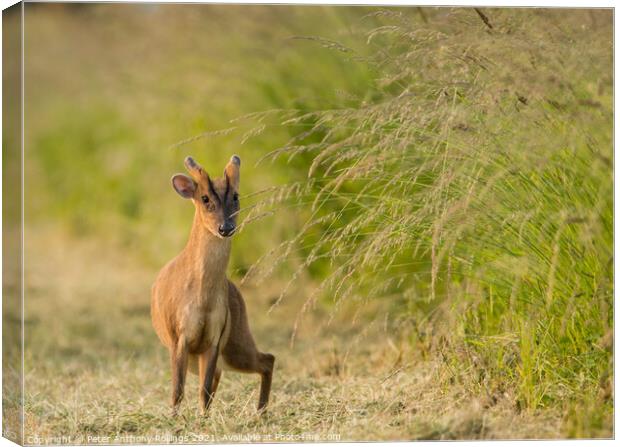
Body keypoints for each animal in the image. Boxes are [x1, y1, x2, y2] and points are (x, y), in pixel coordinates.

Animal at [150, 156, 274, 414]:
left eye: (236, 195)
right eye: (205, 198)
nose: (225, 228)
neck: (202, 300)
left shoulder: (216, 335)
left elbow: (204, 390)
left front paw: (202, 418)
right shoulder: (178, 336)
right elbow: (178, 390)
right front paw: (174, 418)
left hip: (237, 338)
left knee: (267, 359)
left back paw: (260, 412)